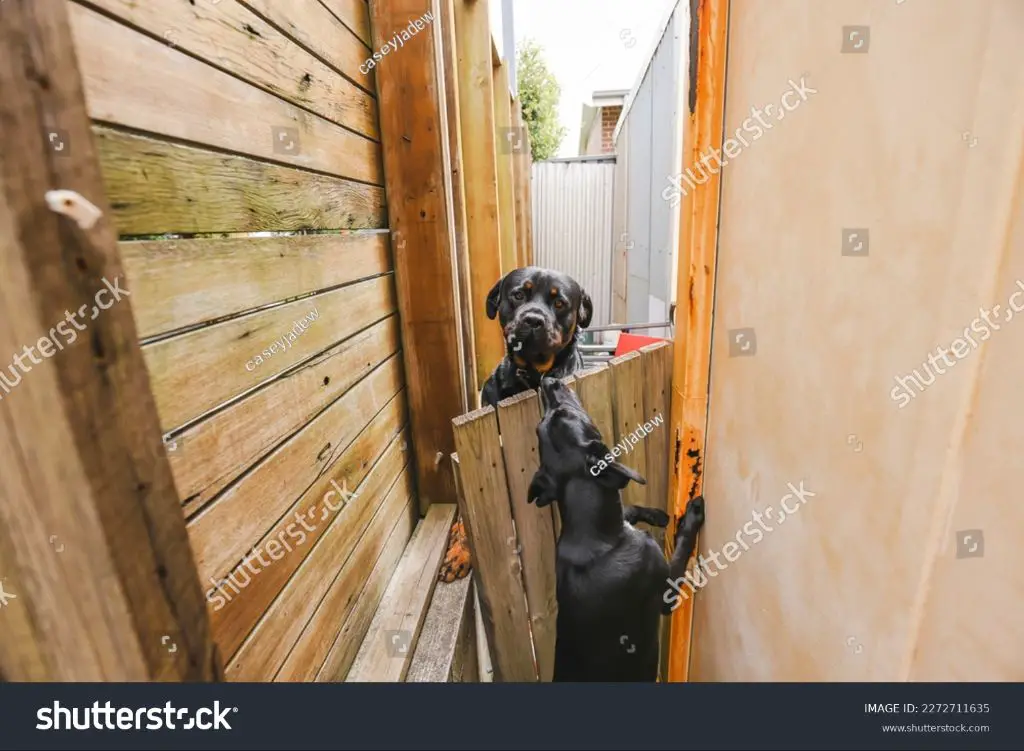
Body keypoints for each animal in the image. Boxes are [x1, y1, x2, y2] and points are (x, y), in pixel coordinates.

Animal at [528, 377, 704, 684]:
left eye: (545, 423)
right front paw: (691, 517)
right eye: (565, 413)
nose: (547, 381)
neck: (602, 540)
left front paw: (656, 515)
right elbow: (682, 549)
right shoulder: (666, 593)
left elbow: (629, 509)